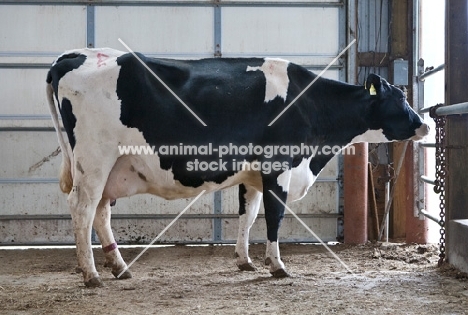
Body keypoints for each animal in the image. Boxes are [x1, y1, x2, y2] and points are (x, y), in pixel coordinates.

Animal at [46, 48, 428, 288]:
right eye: (400, 99)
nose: (423, 125)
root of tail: (74, 56)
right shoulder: (278, 166)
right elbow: (274, 216)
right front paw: (277, 265)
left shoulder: (253, 174)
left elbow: (248, 213)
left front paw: (245, 260)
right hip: (94, 159)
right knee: (82, 209)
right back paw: (91, 275)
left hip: (108, 168)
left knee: (100, 212)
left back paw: (119, 268)